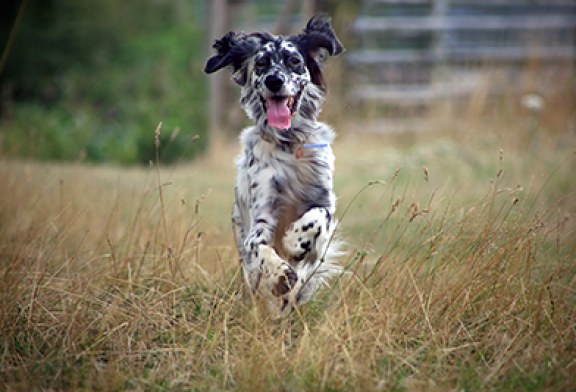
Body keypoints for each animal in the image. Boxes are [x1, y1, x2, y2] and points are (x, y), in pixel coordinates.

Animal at [205, 15, 344, 316]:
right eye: (261, 63)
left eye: (294, 61)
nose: (274, 80)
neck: (289, 144)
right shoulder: (261, 217)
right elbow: (260, 247)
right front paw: (280, 273)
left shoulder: (324, 200)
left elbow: (318, 217)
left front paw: (294, 241)